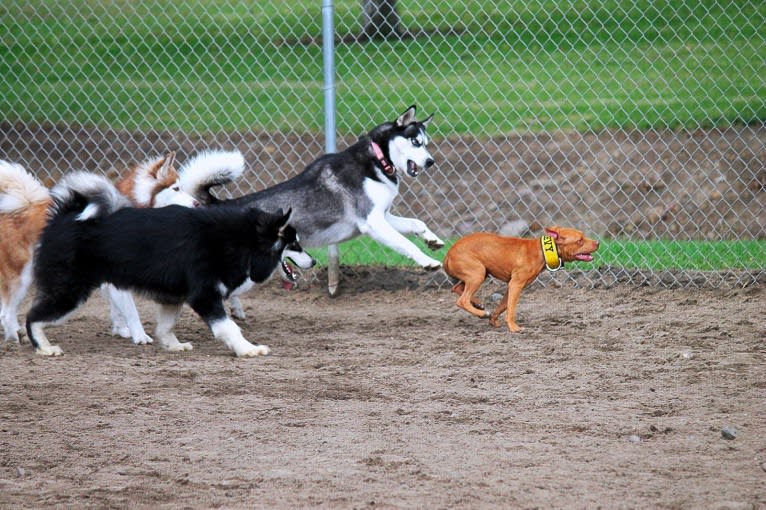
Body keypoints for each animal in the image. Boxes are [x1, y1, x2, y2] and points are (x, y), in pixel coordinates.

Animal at [27, 171, 308, 354]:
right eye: (295, 244)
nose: (313, 261)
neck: (238, 240)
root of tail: (64, 217)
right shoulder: (205, 295)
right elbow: (229, 328)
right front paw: (248, 349)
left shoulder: (174, 297)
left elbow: (166, 326)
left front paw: (173, 345)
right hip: (70, 292)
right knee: (32, 317)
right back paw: (44, 347)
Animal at [183, 104, 444, 270]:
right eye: (415, 142)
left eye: (427, 143)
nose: (431, 162)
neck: (379, 160)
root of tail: (217, 204)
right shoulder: (372, 222)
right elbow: (406, 243)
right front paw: (427, 261)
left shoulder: (382, 216)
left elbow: (417, 224)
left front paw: (433, 240)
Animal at [444, 226, 600, 330]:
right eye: (580, 240)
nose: (598, 243)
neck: (541, 251)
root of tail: (448, 255)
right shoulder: (516, 285)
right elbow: (511, 309)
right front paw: (514, 328)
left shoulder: (511, 286)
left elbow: (503, 306)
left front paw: (493, 320)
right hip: (478, 274)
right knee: (462, 300)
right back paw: (481, 313)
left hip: (481, 273)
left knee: (456, 288)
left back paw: (478, 305)